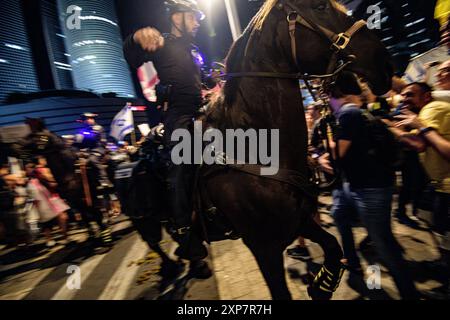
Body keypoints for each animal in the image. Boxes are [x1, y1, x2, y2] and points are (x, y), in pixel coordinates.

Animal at [199, 0, 392, 300]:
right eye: (320, 6)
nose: (385, 62)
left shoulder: (299, 220)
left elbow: (334, 246)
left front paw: (321, 284)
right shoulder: (264, 248)